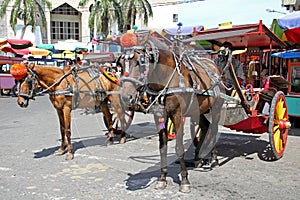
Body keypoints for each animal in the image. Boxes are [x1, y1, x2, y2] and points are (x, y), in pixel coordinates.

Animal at [117, 35, 225, 192]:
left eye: (140, 62)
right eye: (119, 64)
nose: (126, 97)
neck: (167, 77)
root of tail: (215, 67)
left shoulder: (177, 114)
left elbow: (179, 147)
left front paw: (185, 180)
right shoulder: (159, 115)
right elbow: (163, 147)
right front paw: (162, 178)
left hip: (216, 107)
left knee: (214, 129)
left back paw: (214, 159)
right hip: (199, 110)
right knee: (205, 127)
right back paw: (198, 157)